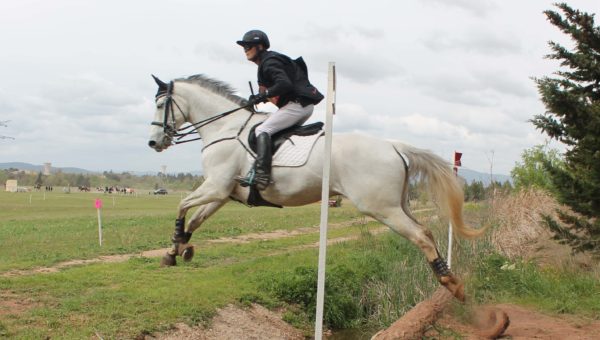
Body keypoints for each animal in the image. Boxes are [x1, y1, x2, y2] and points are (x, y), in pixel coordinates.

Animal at [148, 73, 486, 300]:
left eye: (162, 104)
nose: (154, 143)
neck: (224, 129)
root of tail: (394, 145)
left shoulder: (216, 187)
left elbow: (181, 205)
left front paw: (175, 246)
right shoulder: (224, 193)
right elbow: (195, 218)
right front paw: (178, 250)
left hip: (381, 207)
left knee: (419, 236)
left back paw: (451, 283)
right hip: (397, 204)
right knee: (426, 231)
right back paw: (448, 276)